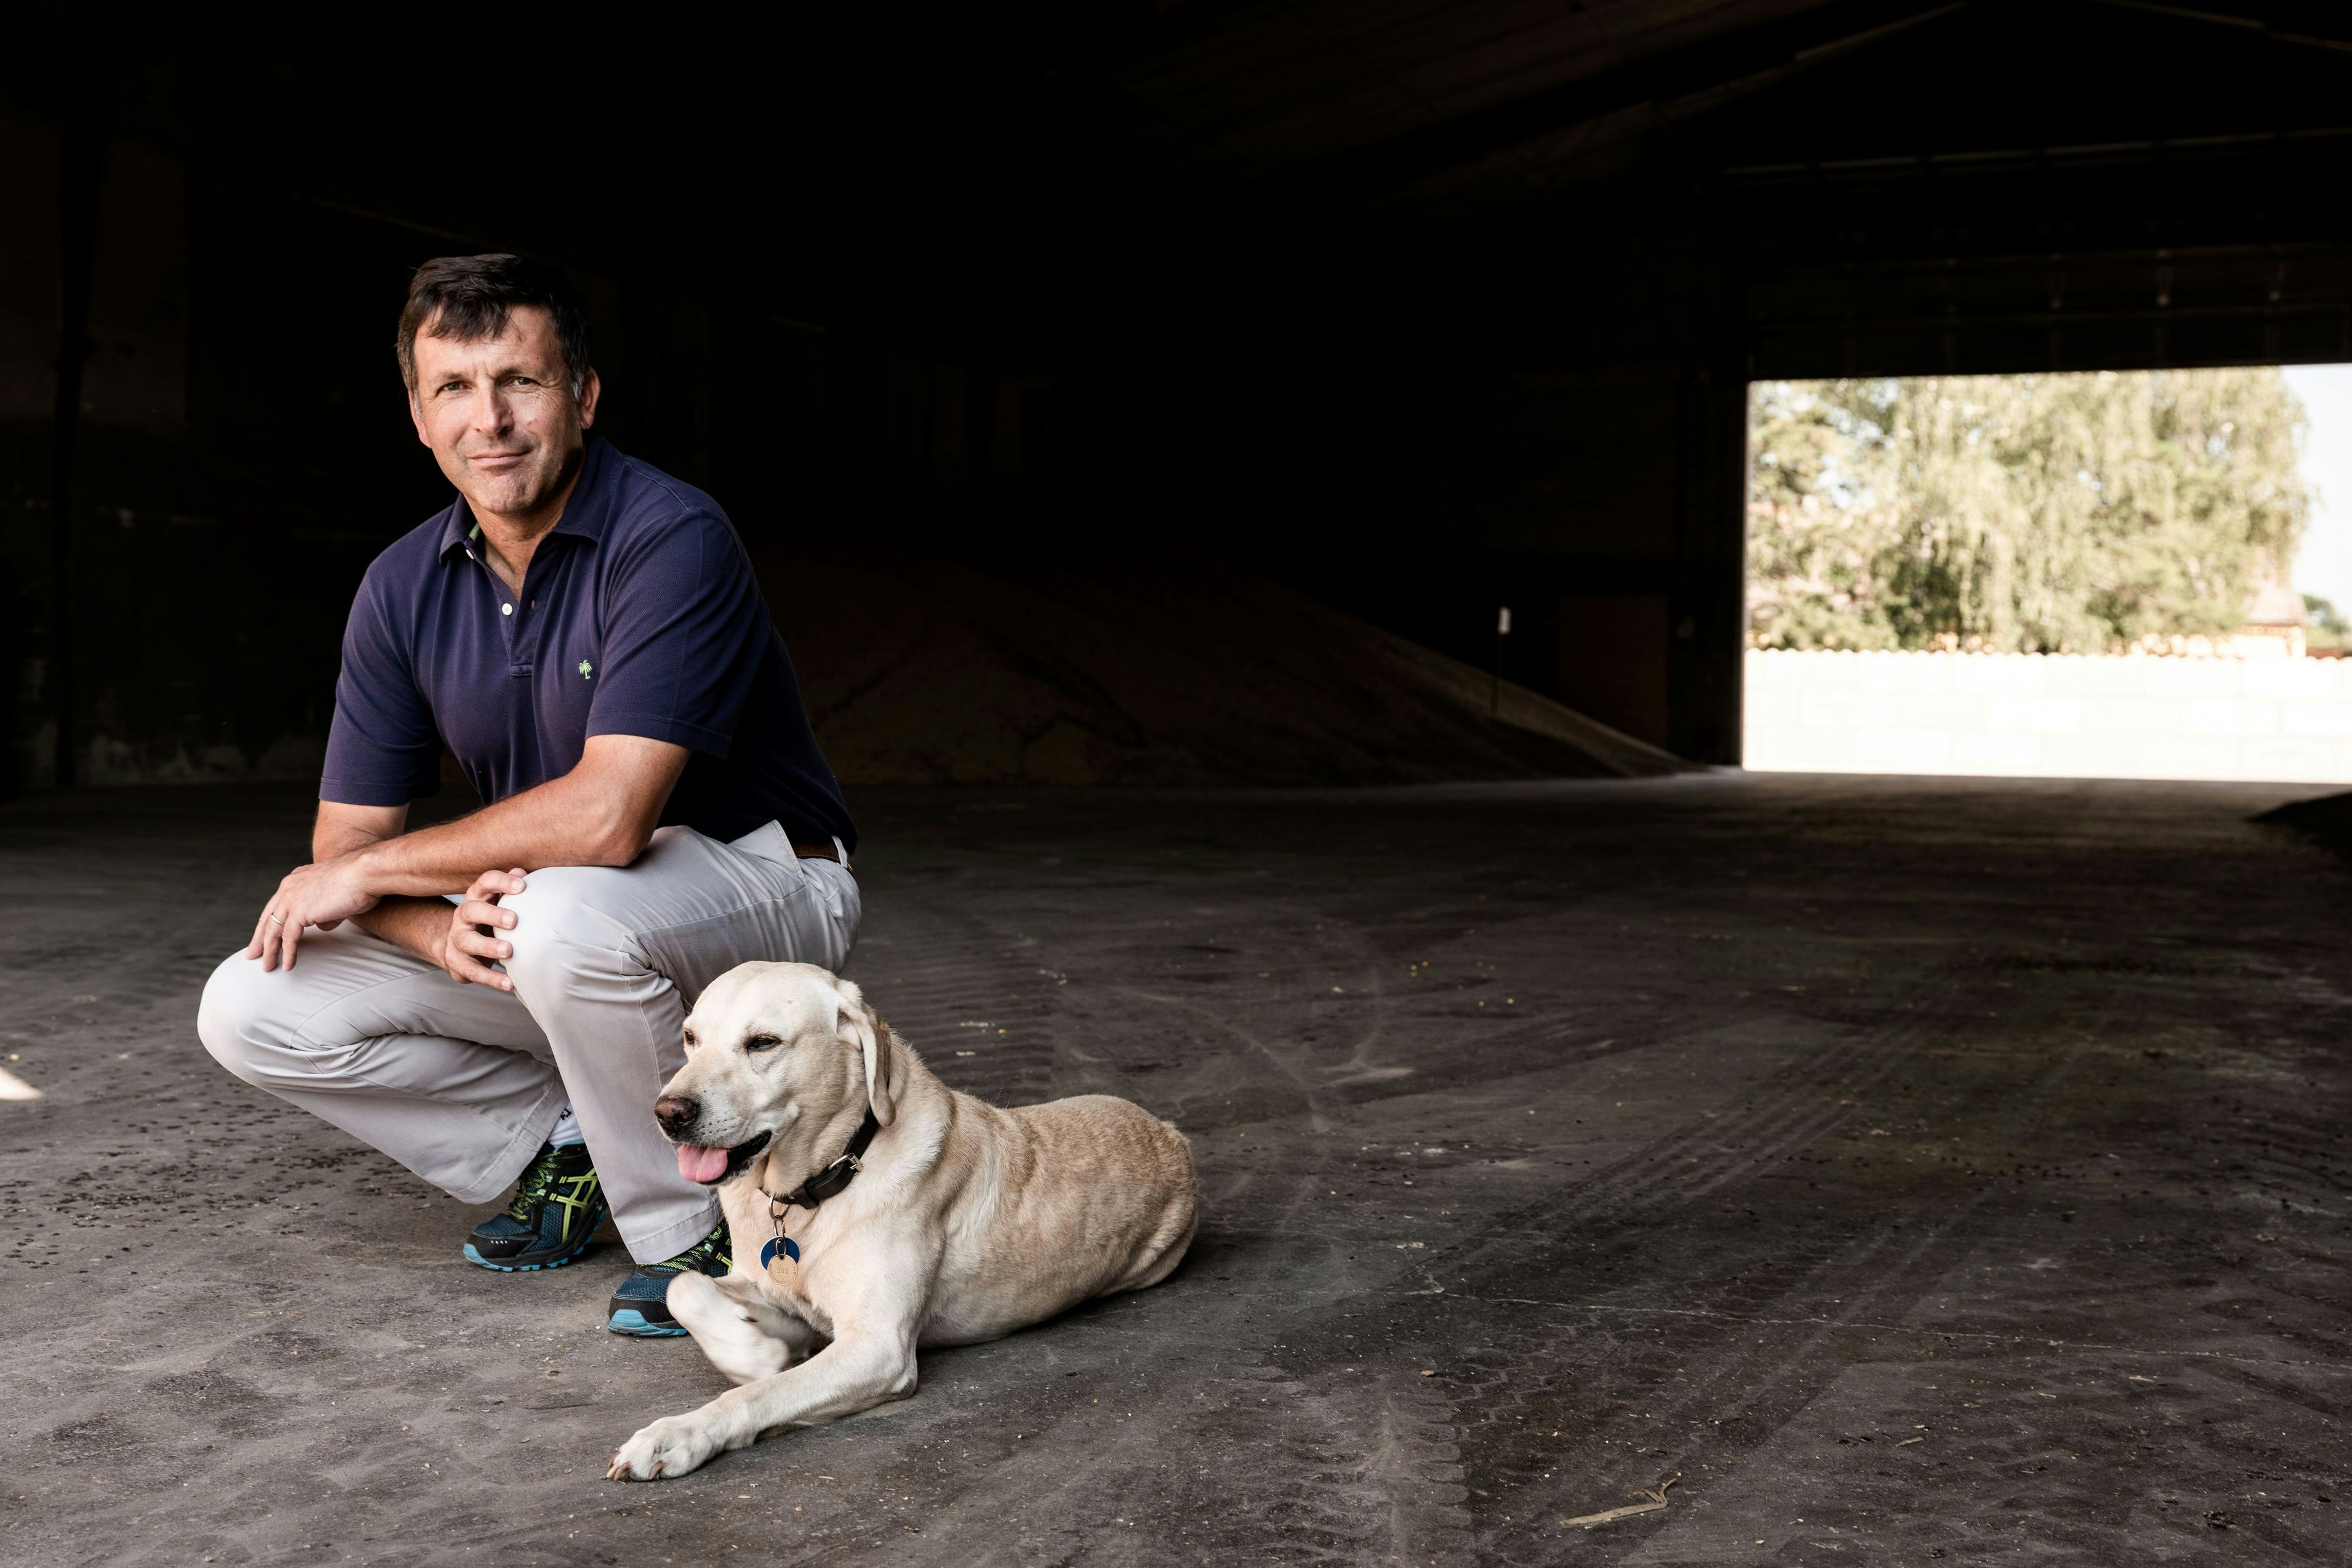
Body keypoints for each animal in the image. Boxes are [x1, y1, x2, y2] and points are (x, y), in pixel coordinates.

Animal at [607, 959, 1195, 1486]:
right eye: (690, 1037)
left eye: (763, 1042)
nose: (668, 1113)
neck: (820, 1181)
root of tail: (1172, 1132)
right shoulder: (771, 1287)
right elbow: (685, 1287)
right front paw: (755, 1347)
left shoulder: (878, 1348)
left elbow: (759, 1393)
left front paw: (679, 1433)